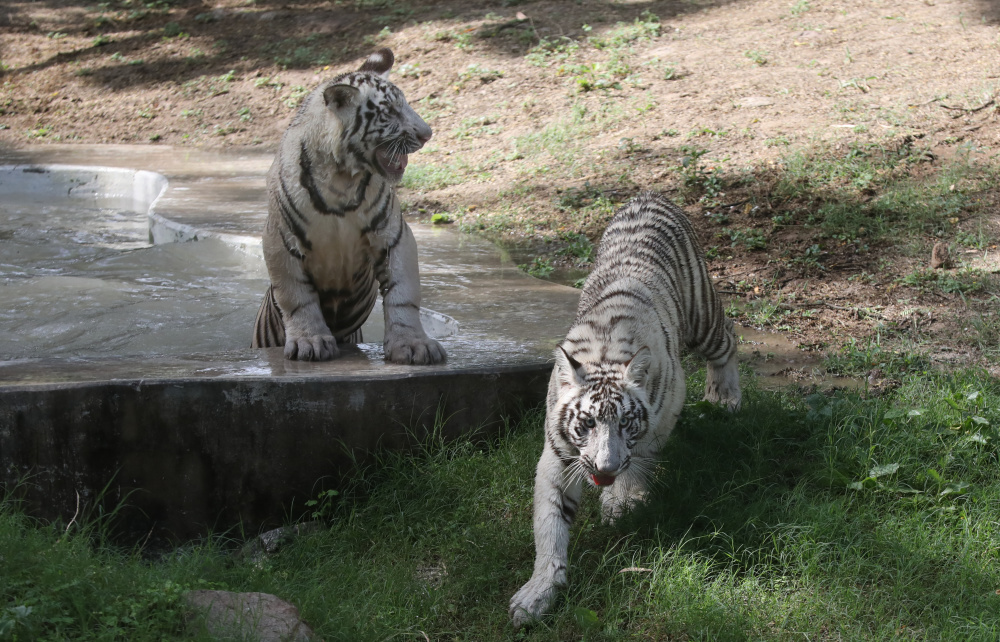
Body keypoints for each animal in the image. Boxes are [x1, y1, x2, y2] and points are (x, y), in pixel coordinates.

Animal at [254, 47, 446, 362]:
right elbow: (296, 297)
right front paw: (310, 341)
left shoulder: (394, 236)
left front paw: (413, 344)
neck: (341, 177)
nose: (427, 133)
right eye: (389, 111)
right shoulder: (280, 239)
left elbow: (403, 294)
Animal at [512, 190, 740, 624]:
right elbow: (550, 525)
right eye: (586, 424)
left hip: (703, 316)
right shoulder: (557, 457)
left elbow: (642, 457)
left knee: (728, 338)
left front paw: (622, 501)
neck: (602, 355)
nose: (605, 469)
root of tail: (650, 194)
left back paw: (725, 396)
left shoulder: (665, 410)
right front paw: (536, 595)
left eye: (626, 424)